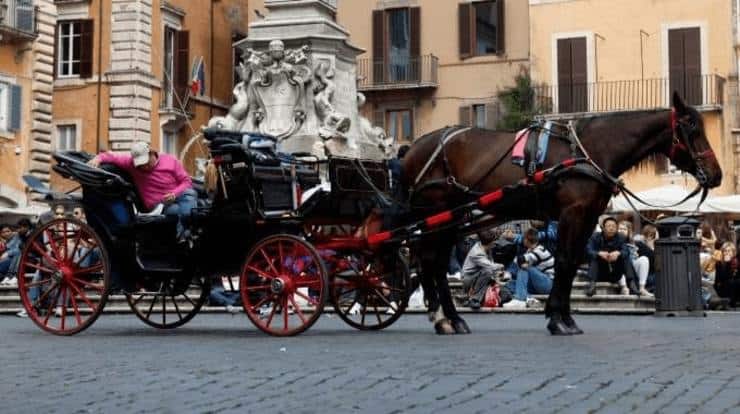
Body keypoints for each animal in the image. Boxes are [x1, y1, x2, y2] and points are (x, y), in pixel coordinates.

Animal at [398, 92, 724, 334]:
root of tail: (413, 148)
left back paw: (449, 318)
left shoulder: (588, 217)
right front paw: (557, 319)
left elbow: (573, 261)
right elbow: (565, 260)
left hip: (448, 220)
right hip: (436, 213)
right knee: (431, 262)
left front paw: (564, 317)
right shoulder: (572, 214)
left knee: (434, 263)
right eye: (692, 128)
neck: (591, 152)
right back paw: (443, 317)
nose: (716, 174)